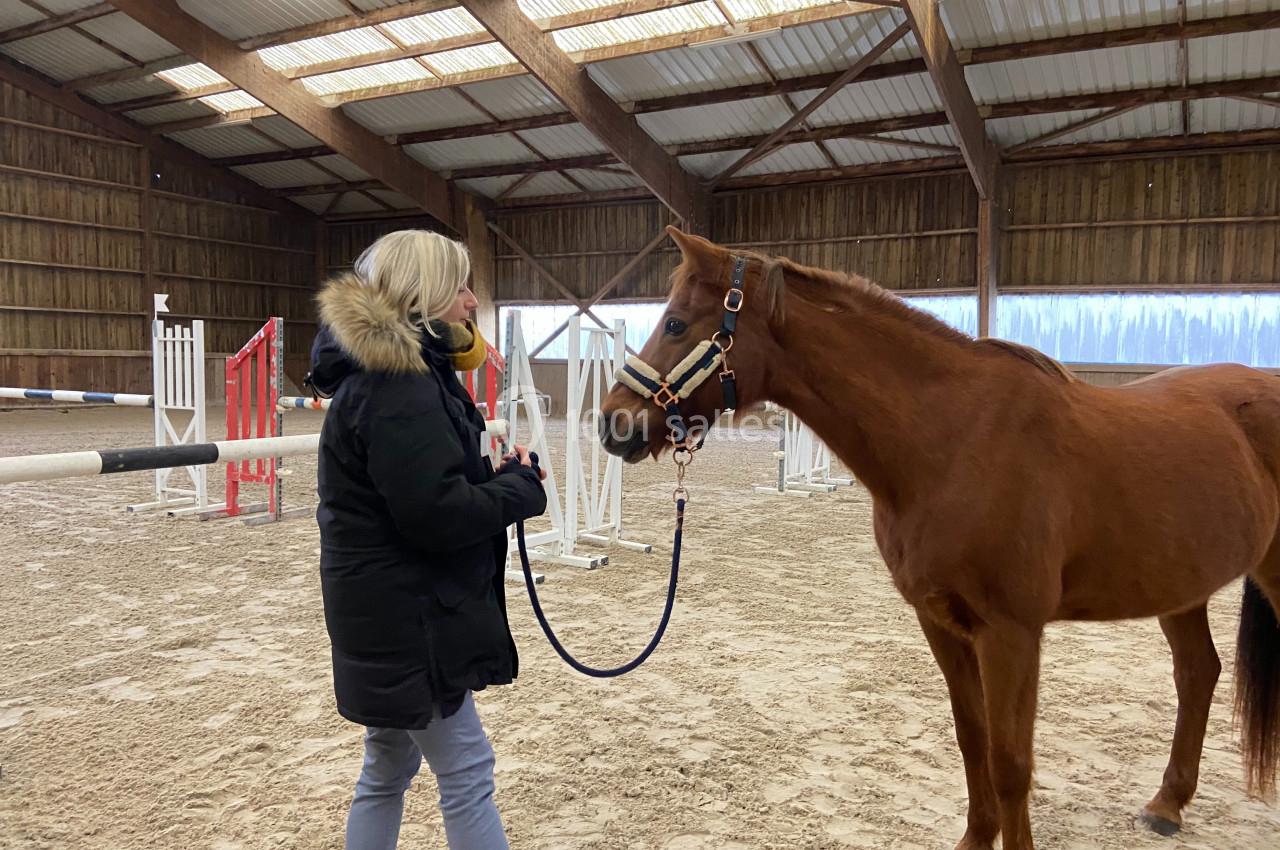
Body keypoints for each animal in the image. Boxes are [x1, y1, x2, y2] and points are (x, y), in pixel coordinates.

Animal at [598, 226, 1280, 850]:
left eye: (677, 323)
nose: (613, 424)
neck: (955, 439)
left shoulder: (1011, 633)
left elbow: (1010, 763)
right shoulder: (941, 623)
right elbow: (971, 740)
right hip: (1180, 587)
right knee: (1198, 673)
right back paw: (1168, 804)